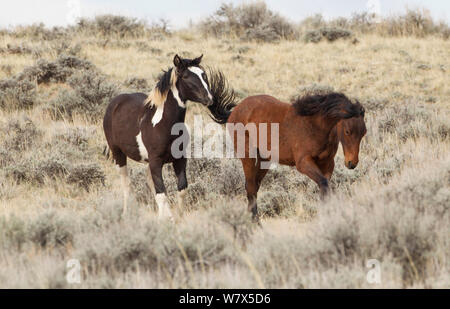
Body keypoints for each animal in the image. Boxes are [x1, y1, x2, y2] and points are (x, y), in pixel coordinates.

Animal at [103, 55, 234, 219]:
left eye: (204, 75)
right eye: (186, 76)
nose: (210, 98)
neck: (164, 125)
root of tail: (115, 102)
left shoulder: (179, 160)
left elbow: (181, 189)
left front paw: (177, 217)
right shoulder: (155, 161)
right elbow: (161, 193)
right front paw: (164, 220)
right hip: (118, 153)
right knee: (126, 184)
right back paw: (126, 214)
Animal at [211, 92, 366, 219]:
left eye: (363, 133)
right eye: (347, 131)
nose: (352, 163)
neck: (315, 127)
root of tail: (234, 110)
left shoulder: (327, 164)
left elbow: (324, 187)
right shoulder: (303, 163)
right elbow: (323, 183)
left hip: (264, 162)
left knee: (254, 187)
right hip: (249, 158)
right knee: (250, 188)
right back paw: (255, 222)